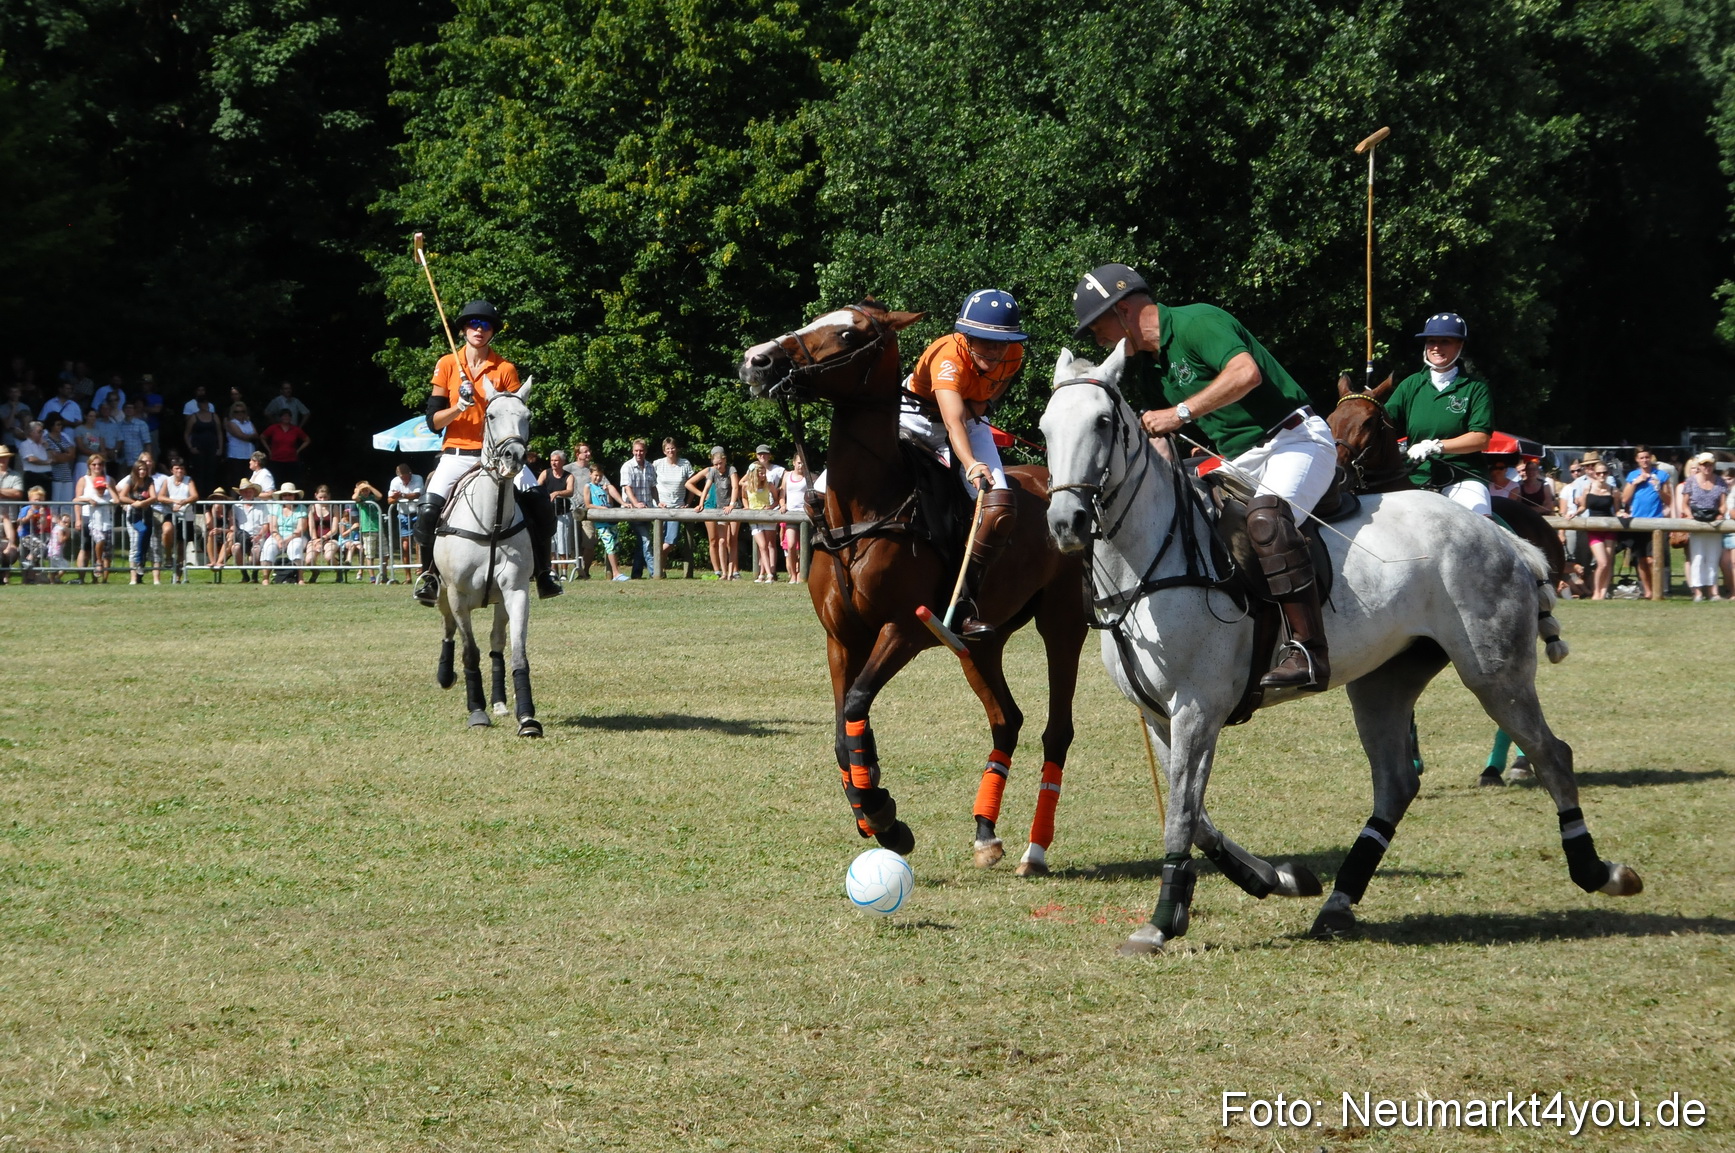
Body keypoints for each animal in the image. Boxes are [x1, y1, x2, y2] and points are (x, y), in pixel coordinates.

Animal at [432, 379, 543, 738]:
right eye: (491, 416)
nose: (514, 457)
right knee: (448, 628)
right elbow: (470, 652)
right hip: (442, 592)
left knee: (496, 643)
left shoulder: (516, 591)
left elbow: (517, 653)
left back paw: (499, 702)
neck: (490, 521)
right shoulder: (457, 594)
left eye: (527, 415)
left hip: (497, 601)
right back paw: (445, 676)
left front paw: (527, 718)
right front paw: (476, 711)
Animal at [739, 300, 1089, 873]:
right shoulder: (841, 638)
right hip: (979, 641)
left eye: (848, 333)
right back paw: (985, 832)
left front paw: (883, 816)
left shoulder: (903, 629)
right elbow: (842, 732)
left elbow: (857, 704)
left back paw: (1035, 850)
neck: (866, 508)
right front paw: (870, 807)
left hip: (1062, 622)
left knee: (1055, 728)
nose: (757, 360)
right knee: (1006, 719)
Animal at [1040, 341, 1642, 954]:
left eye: (1103, 421)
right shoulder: (1159, 713)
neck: (1153, 560)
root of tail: (1505, 537)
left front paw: (1162, 921)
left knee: (1551, 753)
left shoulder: (1197, 708)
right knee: (1397, 783)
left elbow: (1183, 814)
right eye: (1044, 429)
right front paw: (1277, 878)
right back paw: (1338, 902)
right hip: (1383, 681)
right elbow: (1198, 817)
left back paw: (1600, 871)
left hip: (1494, 670)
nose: (1067, 522)